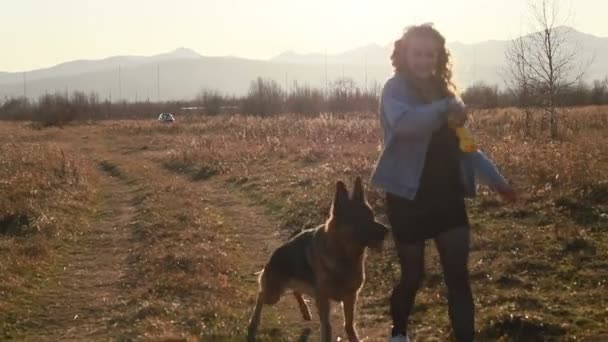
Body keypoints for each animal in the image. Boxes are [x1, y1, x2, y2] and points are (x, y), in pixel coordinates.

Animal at [245, 178, 388, 342]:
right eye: (360, 219)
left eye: (372, 216)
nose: (387, 230)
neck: (343, 256)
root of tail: (273, 256)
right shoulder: (324, 301)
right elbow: (327, 328)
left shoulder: (350, 297)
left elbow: (349, 325)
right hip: (273, 295)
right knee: (261, 295)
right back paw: (253, 322)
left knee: (295, 290)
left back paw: (305, 311)